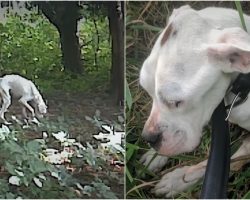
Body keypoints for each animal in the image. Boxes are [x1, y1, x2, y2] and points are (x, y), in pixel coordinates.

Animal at [140, 5, 250, 198]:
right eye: (147, 91)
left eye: (176, 102)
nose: (149, 138)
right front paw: (155, 156)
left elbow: (227, 160)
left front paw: (180, 179)